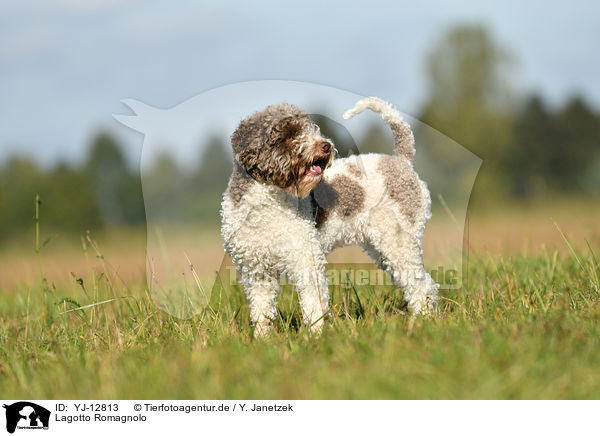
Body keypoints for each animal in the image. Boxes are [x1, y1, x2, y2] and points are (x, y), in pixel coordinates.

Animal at [220, 97, 436, 336]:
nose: (326, 145)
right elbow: (261, 312)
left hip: (399, 242)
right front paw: (262, 339)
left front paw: (317, 336)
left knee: (422, 284)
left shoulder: (306, 260)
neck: (265, 207)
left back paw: (423, 320)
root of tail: (401, 160)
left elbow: (314, 305)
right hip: (382, 248)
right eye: (288, 133)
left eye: (309, 126)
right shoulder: (256, 271)